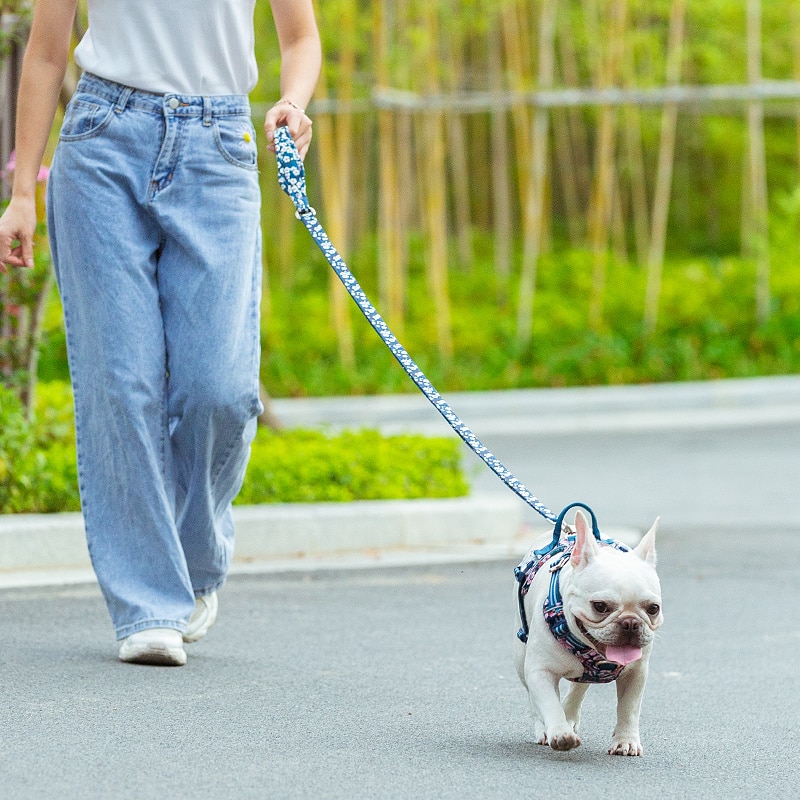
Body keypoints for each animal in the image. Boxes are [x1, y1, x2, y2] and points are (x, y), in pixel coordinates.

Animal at [512, 512, 664, 756]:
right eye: (600, 606)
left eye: (653, 609)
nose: (630, 623)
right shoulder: (539, 671)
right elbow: (548, 703)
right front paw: (560, 733)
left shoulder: (636, 672)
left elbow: (629, 708)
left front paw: (625, 740)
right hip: (520, 657)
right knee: (535, 699)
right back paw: (545, 729)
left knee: (579, 685)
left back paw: (570, 713)